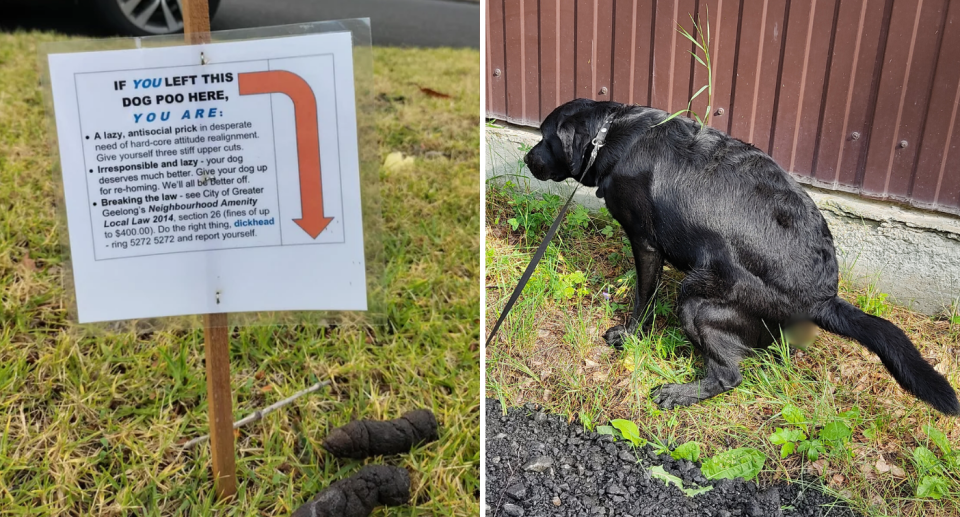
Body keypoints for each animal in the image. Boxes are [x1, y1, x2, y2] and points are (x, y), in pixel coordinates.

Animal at [524, 98, 960, 416]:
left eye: (544, 137)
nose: (527, 159)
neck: (612, 133)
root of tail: (824, 297)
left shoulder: (645, 243)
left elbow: (643, 298)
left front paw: (629, 334)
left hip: (697, 300)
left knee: (729, 375)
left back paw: (680, 394)